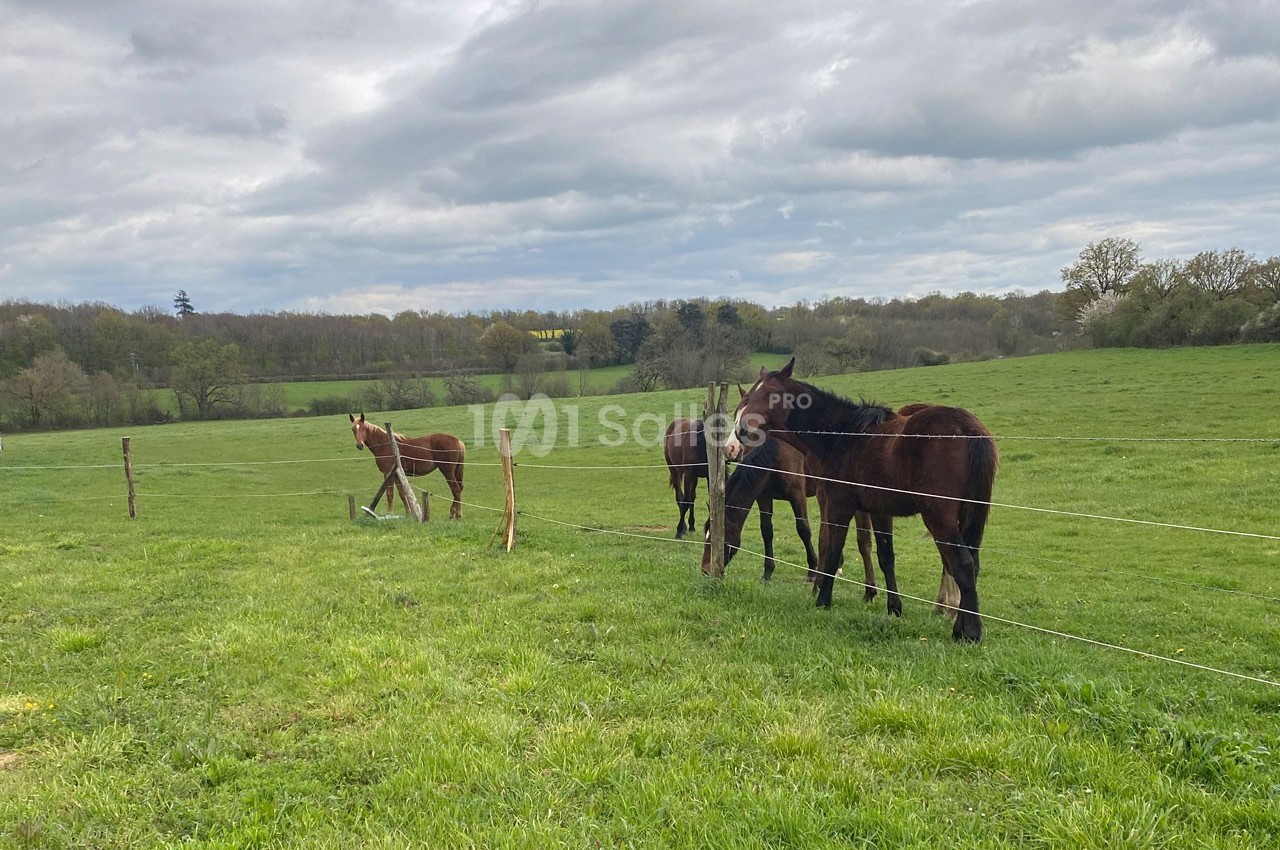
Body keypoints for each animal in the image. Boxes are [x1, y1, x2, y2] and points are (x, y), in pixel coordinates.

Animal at [700, 436, 879, 594]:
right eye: (706, 537)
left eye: (723, 541)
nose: (706, 571)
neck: (777, 455)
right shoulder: (764, 496)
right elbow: (766, 531)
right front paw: (767, 572)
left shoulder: (797, 495)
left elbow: (804, 530)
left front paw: (812, 571)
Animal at [725, 359, 997, 642]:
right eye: (747, 396)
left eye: (770, 394)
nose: (739, 431)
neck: (843, 436)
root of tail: (967, 428)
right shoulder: (879, 509)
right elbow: (885, 556)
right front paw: (893, 608)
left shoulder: (838, 505)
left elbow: (832, 549)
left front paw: (822, 599)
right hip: (964, 515)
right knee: (969, 563)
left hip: (939, 517)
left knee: (961, 563)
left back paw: (969, 630)